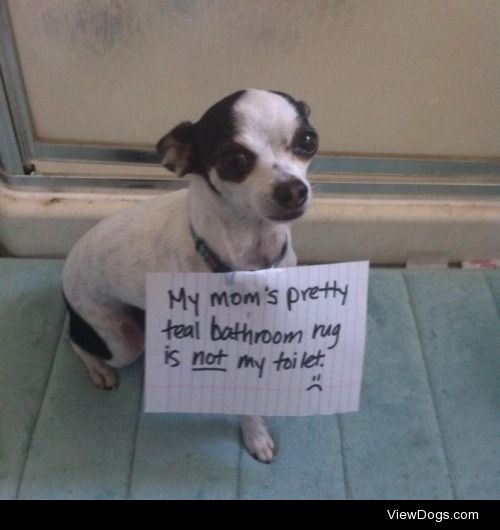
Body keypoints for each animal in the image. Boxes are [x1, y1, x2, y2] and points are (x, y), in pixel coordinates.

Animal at [63, 88, 316, 460]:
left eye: (307, 141)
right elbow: (246, 406)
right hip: (122, 340)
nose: (294, 189)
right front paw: (256, 435)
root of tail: (67, 269)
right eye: (233, 160)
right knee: (75, 339)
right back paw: (99, 369)